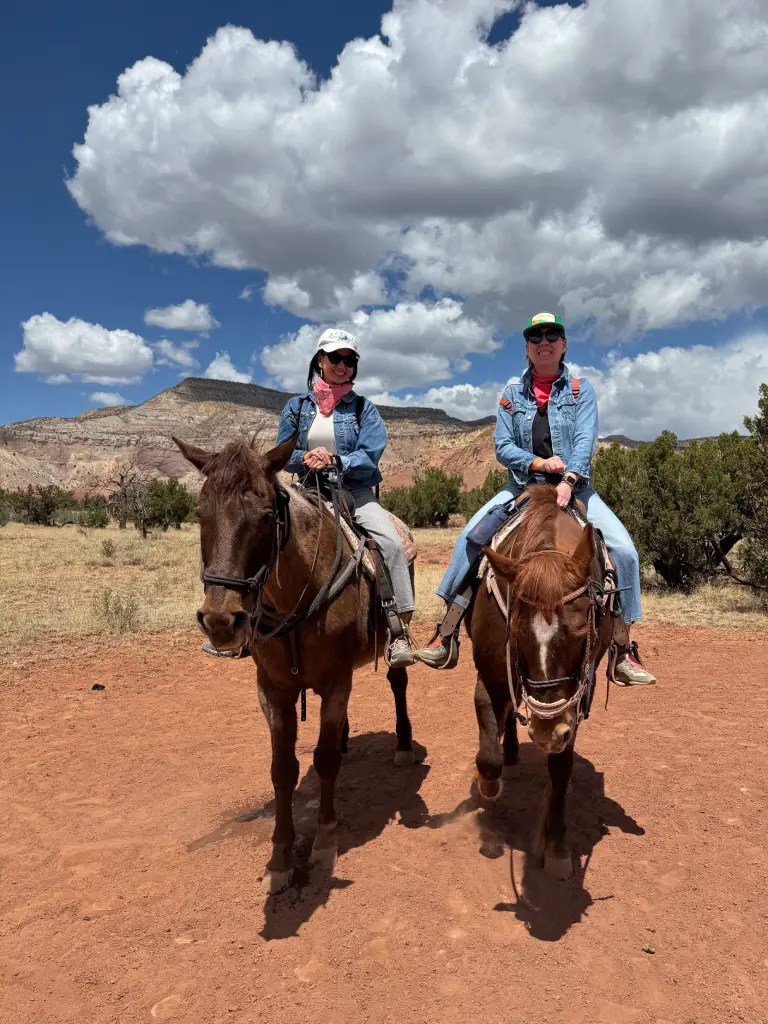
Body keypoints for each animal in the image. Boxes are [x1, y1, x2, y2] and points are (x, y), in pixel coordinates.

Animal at [174, 434, 421, 894]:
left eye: (266, 516)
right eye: (200, 513)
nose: (221, 621)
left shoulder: (336, 681)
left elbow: (323, 761)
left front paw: (324, 842)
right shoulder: (273, 691)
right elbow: (283, 769)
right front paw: (281, 859)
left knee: (398, 684)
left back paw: (402, 744)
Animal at [467, 485, 616, 879]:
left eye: (579, 633)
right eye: (517, 631)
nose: (547, 730)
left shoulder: (576, 699)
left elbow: (561, 769)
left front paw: (557, 848)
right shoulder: (491, 672)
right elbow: (488, 754)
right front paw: (489, 793)